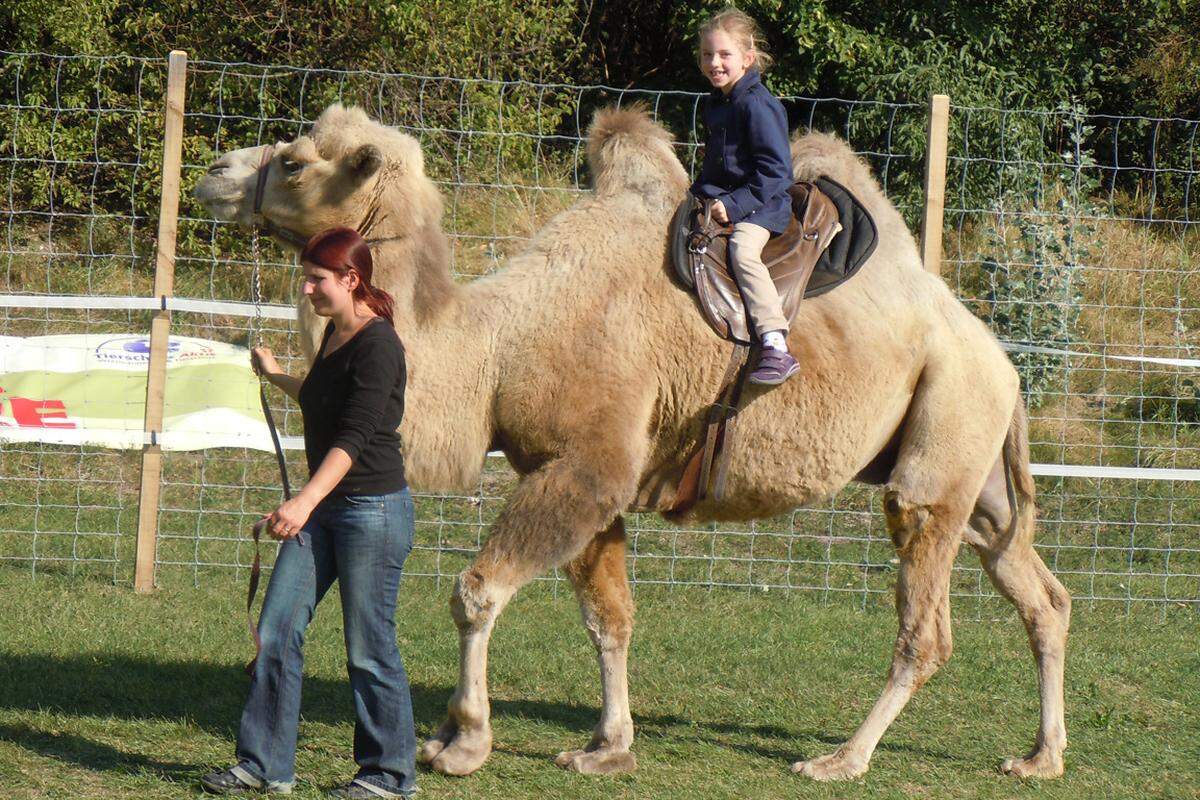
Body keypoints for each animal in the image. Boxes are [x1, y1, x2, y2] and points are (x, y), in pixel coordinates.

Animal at [194, 101, 1070, 782]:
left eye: (298, 161)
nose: (213, 172)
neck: (497, 344)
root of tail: (997, 354)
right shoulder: (572, 468)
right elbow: (609, 618)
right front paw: (607, 746)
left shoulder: (588, 465)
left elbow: (476, 592)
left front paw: (460, 742)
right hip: (977, 470)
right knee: (1038, 592)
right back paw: (1040, 757)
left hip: (942, 437)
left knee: (926, 620)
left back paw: (841, 760)